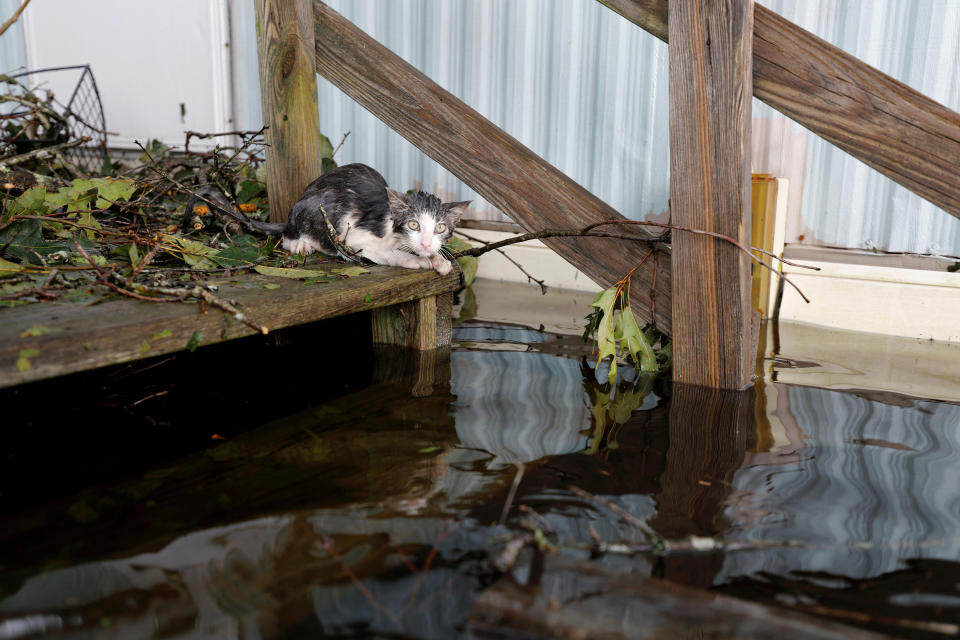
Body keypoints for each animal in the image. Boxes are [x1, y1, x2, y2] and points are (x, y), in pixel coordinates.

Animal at [278, 164, 468, 274]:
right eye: (413, 224)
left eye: (440, 228)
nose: (426, 243)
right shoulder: (353, 239)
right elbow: (387, 252)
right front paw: (416, 259)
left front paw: (439, 260)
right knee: (288, 235)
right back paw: (299, 244)